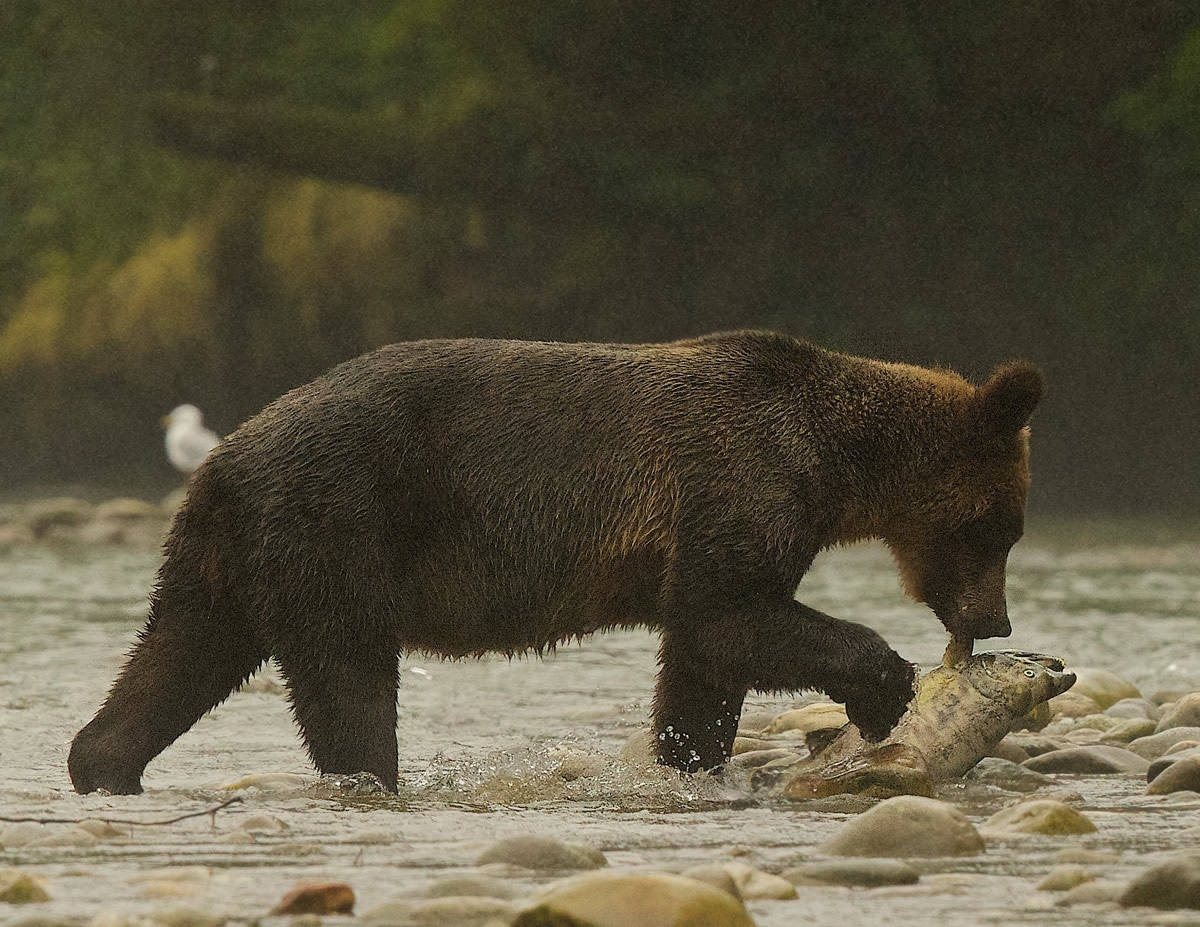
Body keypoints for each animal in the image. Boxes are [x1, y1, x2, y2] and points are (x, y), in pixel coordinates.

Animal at [68, 329, 1041, 792]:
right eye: (998, 527)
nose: (995, 618)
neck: (834, 461)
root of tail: (222, 458)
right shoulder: (739, 478)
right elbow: (728, 617)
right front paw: (883, 686)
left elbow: (702, 659)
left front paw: (687, 760)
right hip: (337, 520)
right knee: (347, 675)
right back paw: (372, 774)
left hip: (229, 556)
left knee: (179, 651)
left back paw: (102, 760)